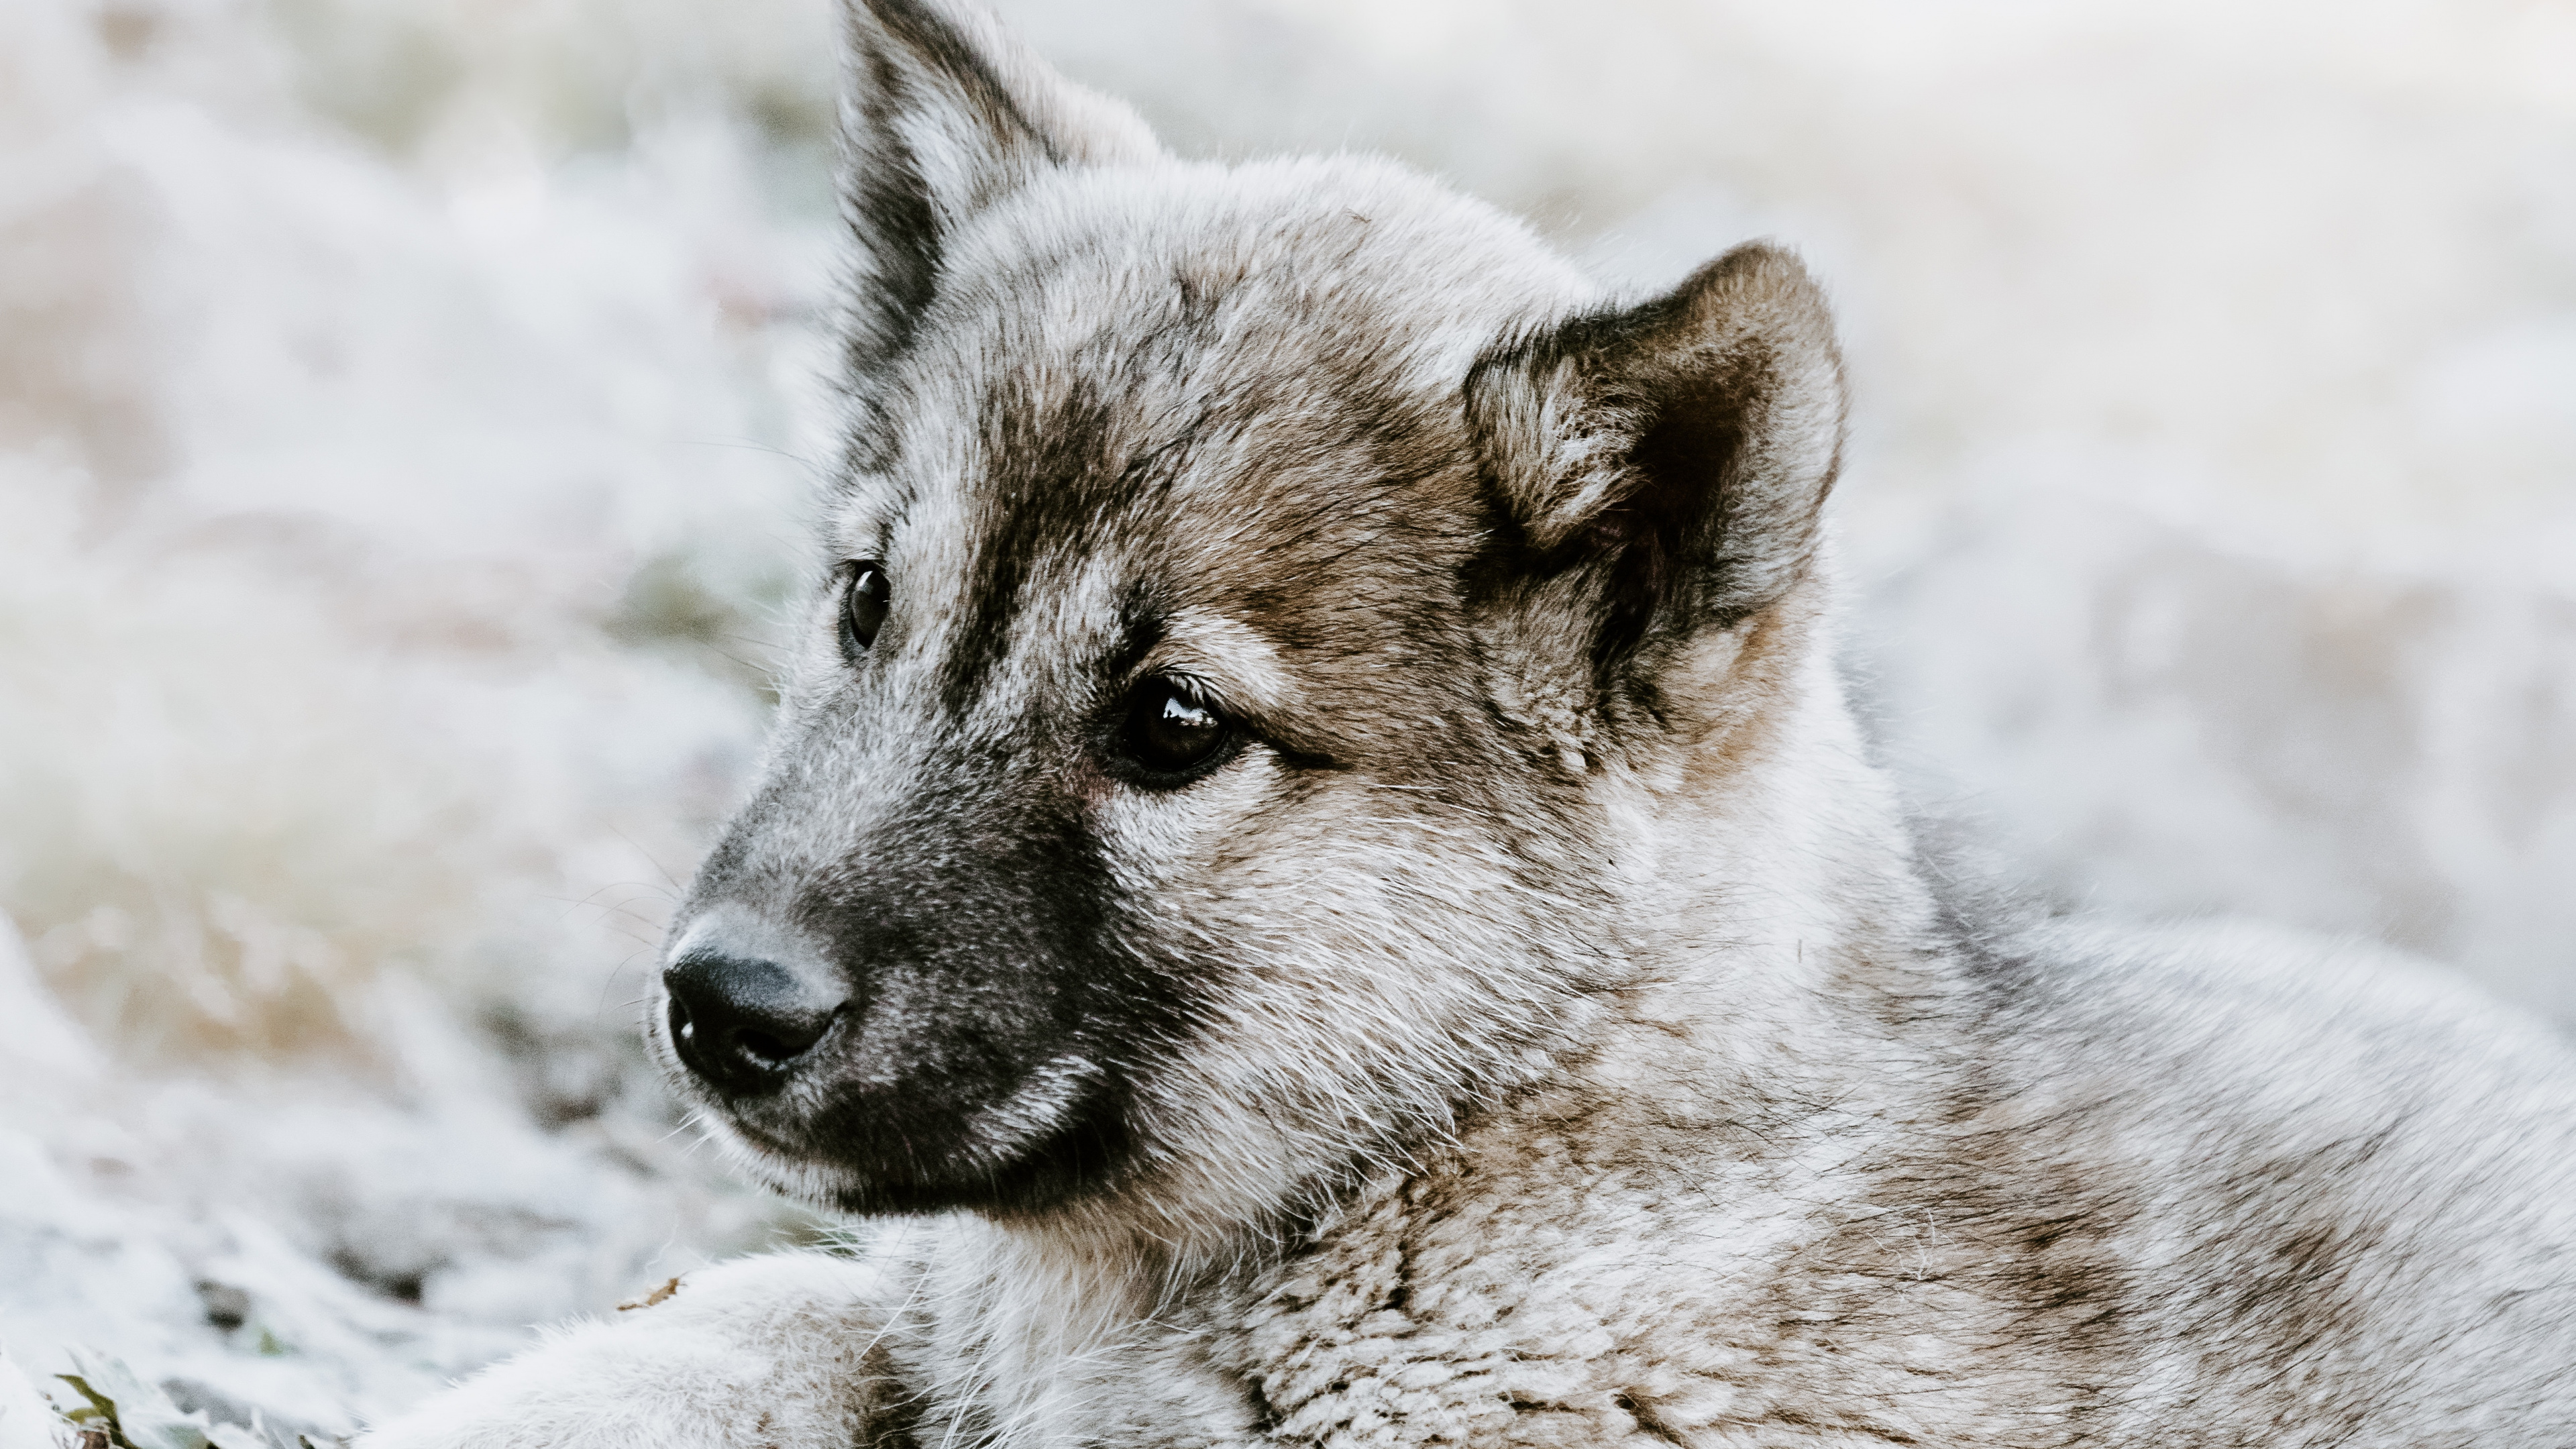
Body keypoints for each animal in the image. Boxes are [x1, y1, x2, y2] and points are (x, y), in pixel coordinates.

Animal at [358, 3, 2576, 1444]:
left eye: (1172, 724)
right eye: (862, 606)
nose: (716, 1005)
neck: (1501, 1162)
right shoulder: (876, 1309)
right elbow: (722, 1324)